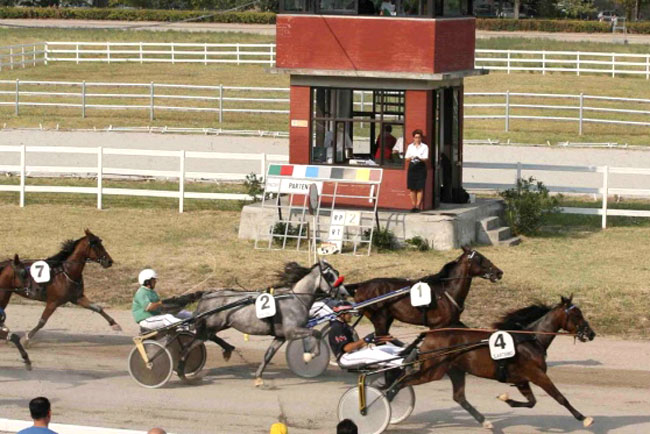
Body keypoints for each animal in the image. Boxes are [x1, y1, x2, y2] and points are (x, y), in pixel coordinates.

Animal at [191, 262, 346, 386]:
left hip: (219, 325)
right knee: (200, 339)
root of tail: (207, 294)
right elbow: (317, 333)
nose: (344, 293)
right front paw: (310, 355)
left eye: (337, 273)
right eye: (330, 276)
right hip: (212, 324)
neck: (296, 299)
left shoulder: (281, 336)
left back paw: (227, 349)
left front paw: (258, 378)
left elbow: (268, 355)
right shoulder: (292, 331)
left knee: (209, 337)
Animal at [344, 246, 502, 334]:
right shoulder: (437, 326)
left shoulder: (453, 322)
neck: (447, 290)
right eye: (480, 258)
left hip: (387, 318)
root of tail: (362, 285)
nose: (499, 272)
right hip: (379, 318)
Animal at [408, 296, 596, 428]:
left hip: (455, 370)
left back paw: (485, 422)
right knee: (405, 382)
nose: (591, 333)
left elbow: (532, 402)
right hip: (433, 371)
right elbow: (560, 397)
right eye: (576, 315)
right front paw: (584, 418)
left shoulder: (521, 379)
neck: (530, 340)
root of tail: (430, 334)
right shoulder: (537, 374)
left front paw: (506, 399)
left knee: (459, 397)